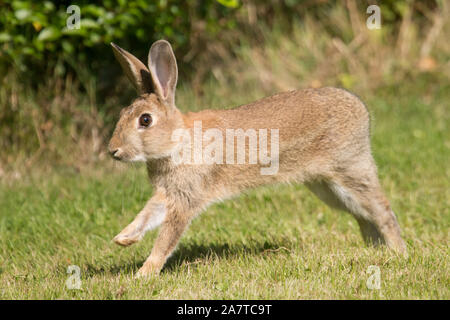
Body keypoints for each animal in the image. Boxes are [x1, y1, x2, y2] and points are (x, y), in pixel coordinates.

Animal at [109, 38, 408, 276]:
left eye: (145, 120)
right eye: (122, 113)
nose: (113, 150)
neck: (178, 139)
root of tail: (362, 111)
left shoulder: (186, 198)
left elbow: (166, 238)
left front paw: (144, 274)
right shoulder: (169, 193)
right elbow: (148, 214)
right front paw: (123, 238)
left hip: (349, 169)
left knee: (382, 210)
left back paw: (398, 253)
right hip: (328, 188)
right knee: (363, 215)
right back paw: (374, 251)